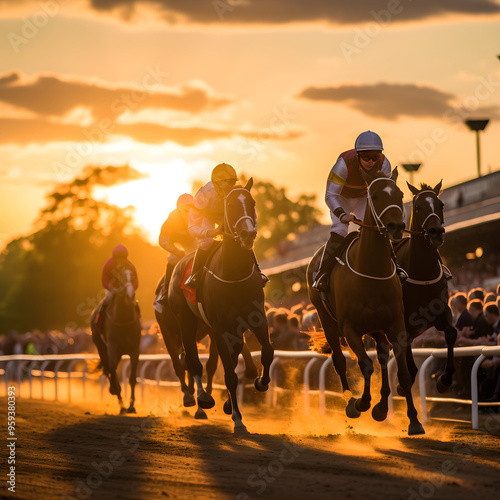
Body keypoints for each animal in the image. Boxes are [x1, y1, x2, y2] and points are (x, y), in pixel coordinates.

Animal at [90, 270, 140, 414]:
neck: (124, 319)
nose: (130, 293)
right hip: (101, 346)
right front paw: (122, 406)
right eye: (121, 276)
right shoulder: (112, 347)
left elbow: (132, 378)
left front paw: (132, 406)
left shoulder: (134, 349)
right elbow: (112, 370)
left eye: (133, 275)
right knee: (108, 368)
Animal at [170, 180, 276, 434]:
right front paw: (238, 419)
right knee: (192, 360)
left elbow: (267, 351)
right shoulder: (219, 328)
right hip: (187, 323)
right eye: (230, 204)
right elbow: (228, 374)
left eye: (252, 202)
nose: (248, 233)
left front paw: (261, 381)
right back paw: (202, 399)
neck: (234, 274)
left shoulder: (256, 318)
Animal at [308, 167, 426, 434]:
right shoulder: (349, 328)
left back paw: (381, 407)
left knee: (382, 356)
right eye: (376, 195)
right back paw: (348, 397)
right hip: (327, 319)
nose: (396, 226)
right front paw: (360, 403)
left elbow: (402, 372)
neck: (371, 270)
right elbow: (365, 364)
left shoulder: (395, 325)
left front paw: (414, 420)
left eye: (399, 194)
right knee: (339, 359)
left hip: (377, 329)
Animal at [394, 182, 458, 392]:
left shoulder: (441, 313)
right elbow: (409, 364)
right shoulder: (404, 323)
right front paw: (401, 386)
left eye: (441, 204)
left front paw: (444, 380)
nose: (435, 232)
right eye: (418, 207)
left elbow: (451, 333)